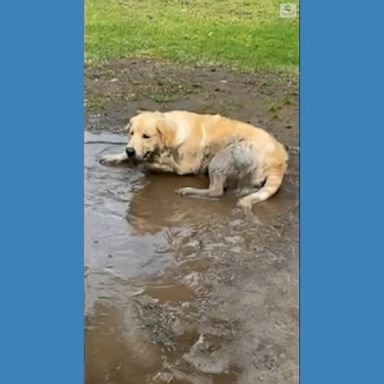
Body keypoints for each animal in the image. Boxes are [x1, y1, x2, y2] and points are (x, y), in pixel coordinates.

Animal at [99, 110, 288, 210]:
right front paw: (114, 156)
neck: (172, 135)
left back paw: (189, 190)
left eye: (146, 136)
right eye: (131, 133)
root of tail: (279, 162)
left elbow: (160, 164)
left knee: (216, 191)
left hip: (224, 155)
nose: (130, 150)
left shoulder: (185, 166)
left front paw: (146, 163)